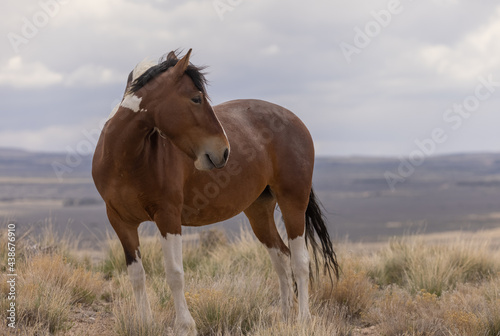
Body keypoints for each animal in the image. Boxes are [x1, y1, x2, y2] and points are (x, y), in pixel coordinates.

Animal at [92, 48, 338, 334]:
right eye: (196, 98)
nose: (224, 151)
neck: (125, 158)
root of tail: (296, 121)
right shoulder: (121, 221)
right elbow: (136, 275)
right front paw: (145, 323)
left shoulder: (168, 217)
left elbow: (174, 274)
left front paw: (185, 325)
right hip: (259, 210)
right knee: (281, 256)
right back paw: (285, 317)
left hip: (293, 202)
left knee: (300, 261)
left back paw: (303, 320)